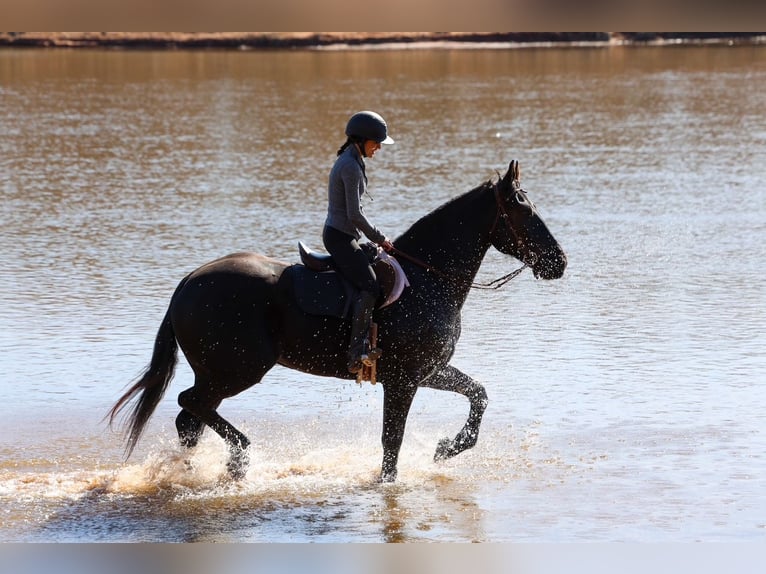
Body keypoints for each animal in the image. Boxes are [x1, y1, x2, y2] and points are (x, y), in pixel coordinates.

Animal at [108, 160, 567, 482]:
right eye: (524, 211)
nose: (558, 262)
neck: (426, 279)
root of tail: (189, 281)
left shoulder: (427, 370)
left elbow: (479, 395)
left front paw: (446, 448)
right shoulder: (404, 380)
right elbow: (392, 440)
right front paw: (390, 480)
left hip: (218, 373)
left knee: (190, 418)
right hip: (236, 370)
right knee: (191, 405)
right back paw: (239, 457)